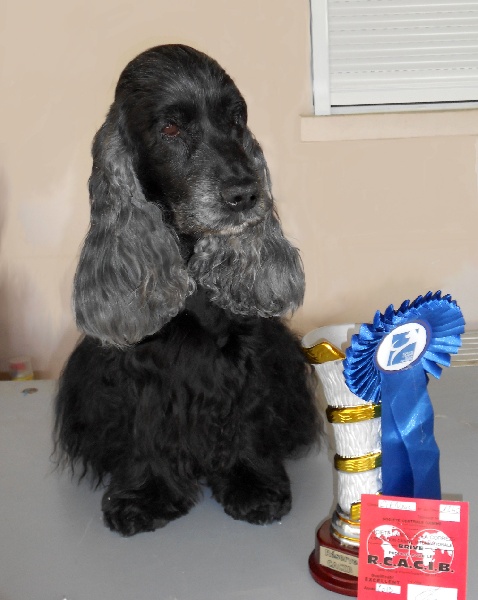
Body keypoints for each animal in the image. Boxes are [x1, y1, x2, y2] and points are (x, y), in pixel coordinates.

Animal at [55, 44, 319, 537]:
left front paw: (253, 485)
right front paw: (144, 495)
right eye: (171, 128)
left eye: (236, 119)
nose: (246, 194)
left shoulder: (250, 351)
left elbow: (249, 413)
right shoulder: (139, 367)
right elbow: (144, 426)